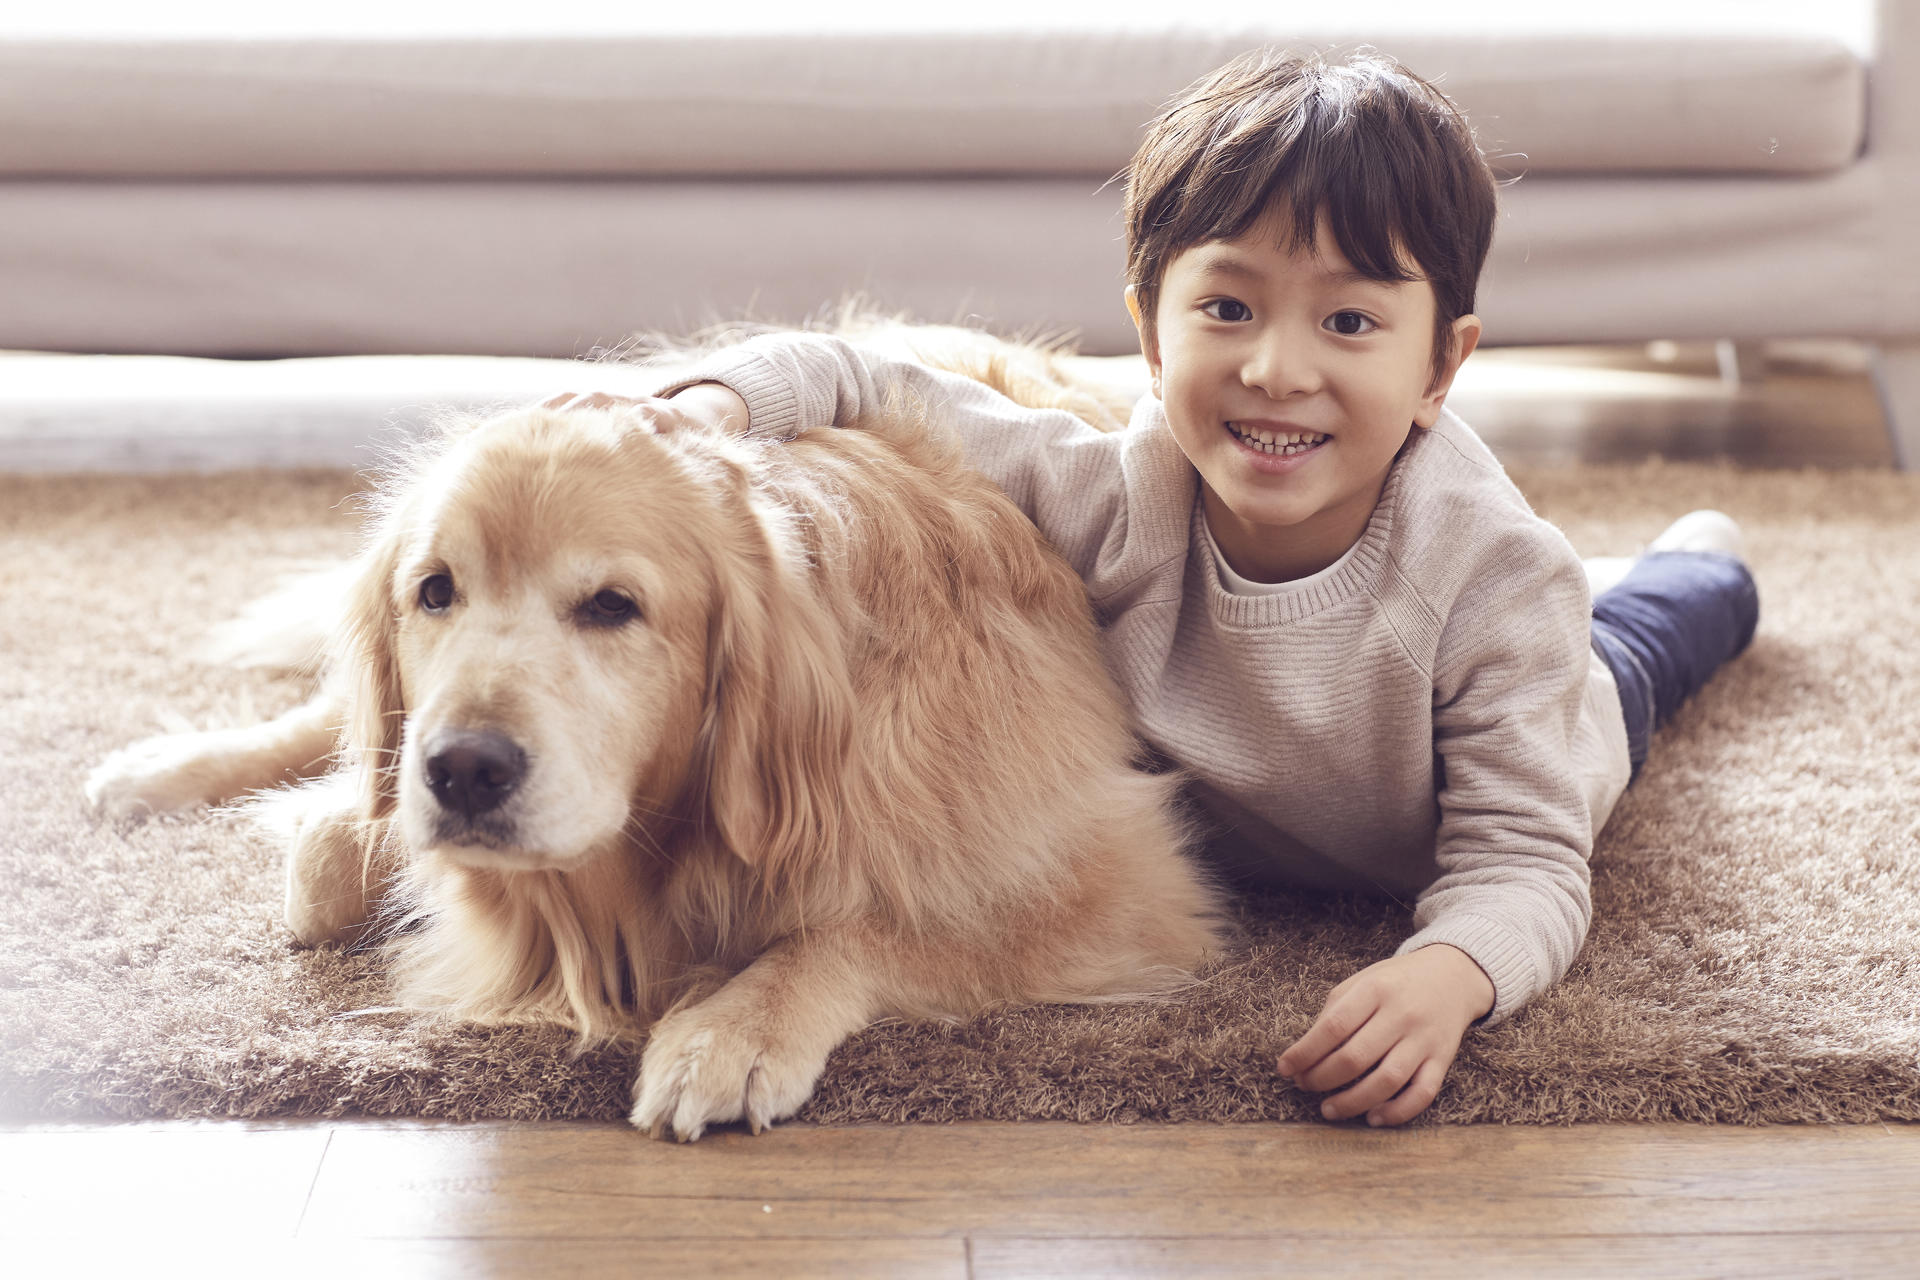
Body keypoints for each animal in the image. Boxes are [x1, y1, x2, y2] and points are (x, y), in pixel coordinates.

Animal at [86, 320, 1228, 1143]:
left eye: (612, 606)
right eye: (436, 591)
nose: (464, 771)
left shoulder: (1124, 883)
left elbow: (873, 923)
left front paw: (732, 1025)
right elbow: (328, 855)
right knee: (334, 723)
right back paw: (158, 768)